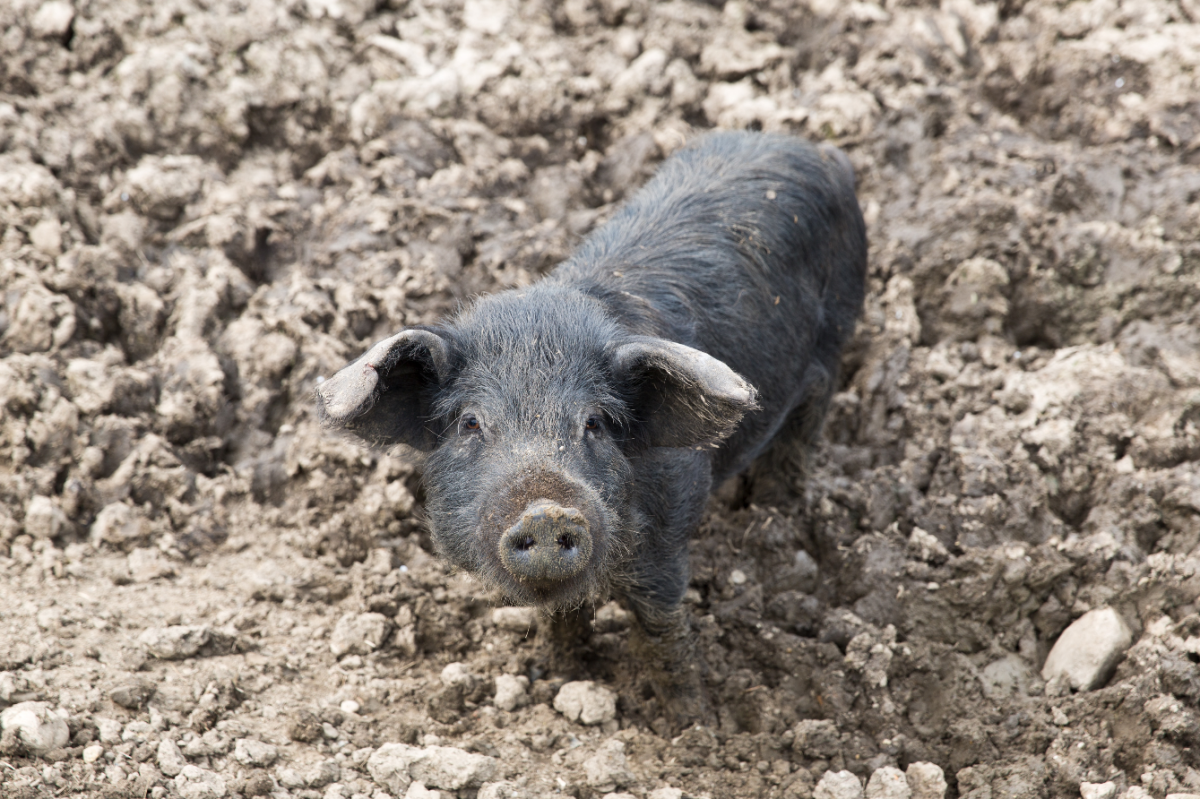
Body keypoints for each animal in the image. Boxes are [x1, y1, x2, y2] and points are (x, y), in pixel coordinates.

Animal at [314, 130, 868, 719]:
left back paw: (772, 509)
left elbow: (661, 627)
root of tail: (819, 152)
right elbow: (561, 615)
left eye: (596, 423)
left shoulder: (670, 528)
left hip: (835, 337)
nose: (545, 509)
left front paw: (694, 722)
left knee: (806, 422)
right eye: (470, 423)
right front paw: (559, 676)